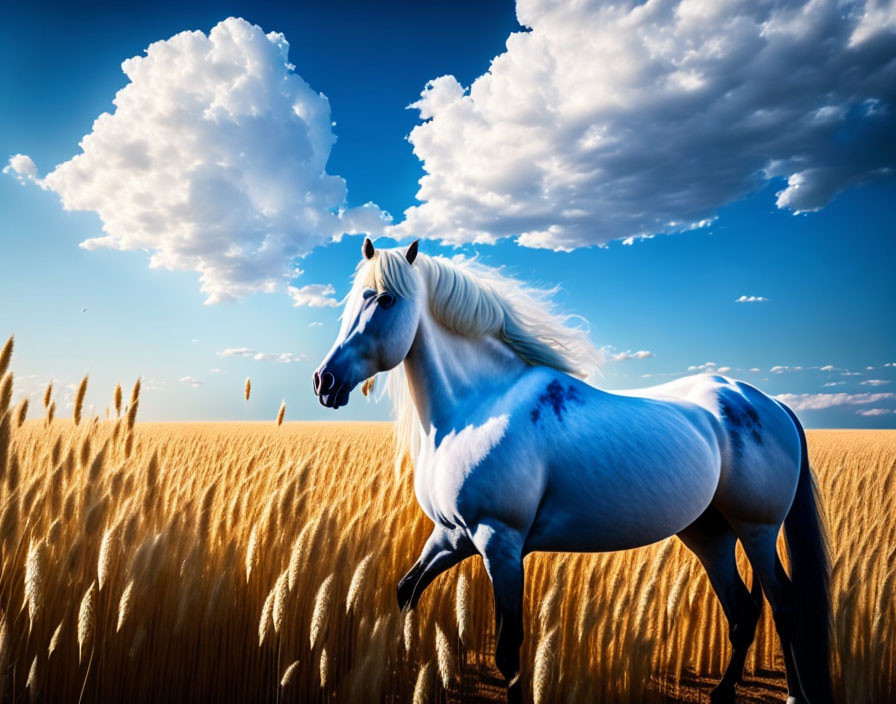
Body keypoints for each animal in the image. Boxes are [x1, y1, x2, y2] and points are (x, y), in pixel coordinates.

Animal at [314, 238, 832, 704]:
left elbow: (508, 652)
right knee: (742, 611)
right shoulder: (453, 535)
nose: (325, 381)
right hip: (709, 532)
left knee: (783, 605)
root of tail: (768, 402)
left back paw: (793, 696)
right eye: (352, 300)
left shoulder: (500, 542)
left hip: (756, 528)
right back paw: (723, 694)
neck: (478, 405)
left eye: (385, 299)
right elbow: (406, 592)